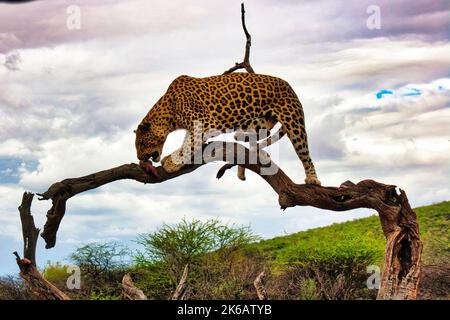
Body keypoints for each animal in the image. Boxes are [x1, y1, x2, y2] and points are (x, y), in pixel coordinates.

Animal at [134, 71, 320, 185]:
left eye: (141, 143)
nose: (139, 158)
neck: (168, 113)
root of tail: (290, 86)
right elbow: (188, 143)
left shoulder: (202, 122)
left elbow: (189, 144)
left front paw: (172, 162)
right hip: (254, 122)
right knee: (256, 135)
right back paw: (254, 152)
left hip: (294, 122)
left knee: (304, 153)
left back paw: (313, 179)